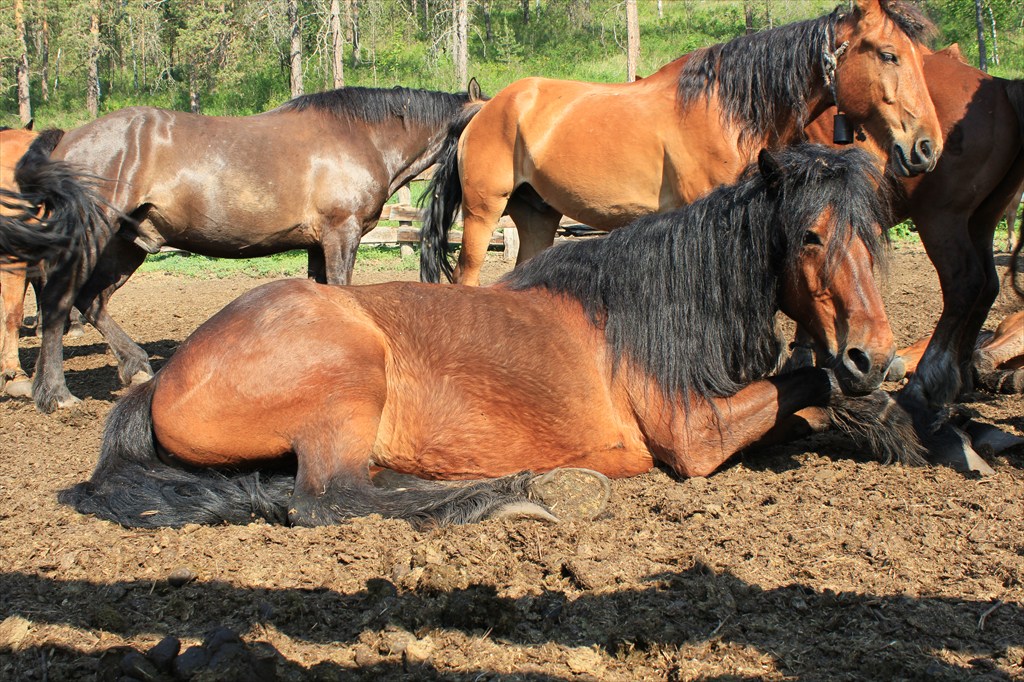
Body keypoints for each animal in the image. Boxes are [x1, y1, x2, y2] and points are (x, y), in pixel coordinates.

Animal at [4, 80, 483, 409]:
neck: (361, 137)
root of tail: (66, 140)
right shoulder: (340, 234)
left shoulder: (316, 244)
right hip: (94, 233)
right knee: (58, 300)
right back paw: (56, 393)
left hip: (128, 244)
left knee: (92, 301)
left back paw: (134, 367)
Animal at [58, 142, 921, 524]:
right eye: (809, 235)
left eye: (875, 233)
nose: (871, 354)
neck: (647, 309)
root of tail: (166, 377)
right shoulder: (694, 437)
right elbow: (801, 384)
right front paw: (898, 417)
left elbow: (806, 404)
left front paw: (890, 420)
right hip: (349, 374)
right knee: (331, 500)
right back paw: (529, 493)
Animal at [419, 0, 937, 284]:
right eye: (889, 54)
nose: (926, 146)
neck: (727, 110)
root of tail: (487, 109)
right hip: (483, 213)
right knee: (466, 277)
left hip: (537, 215)